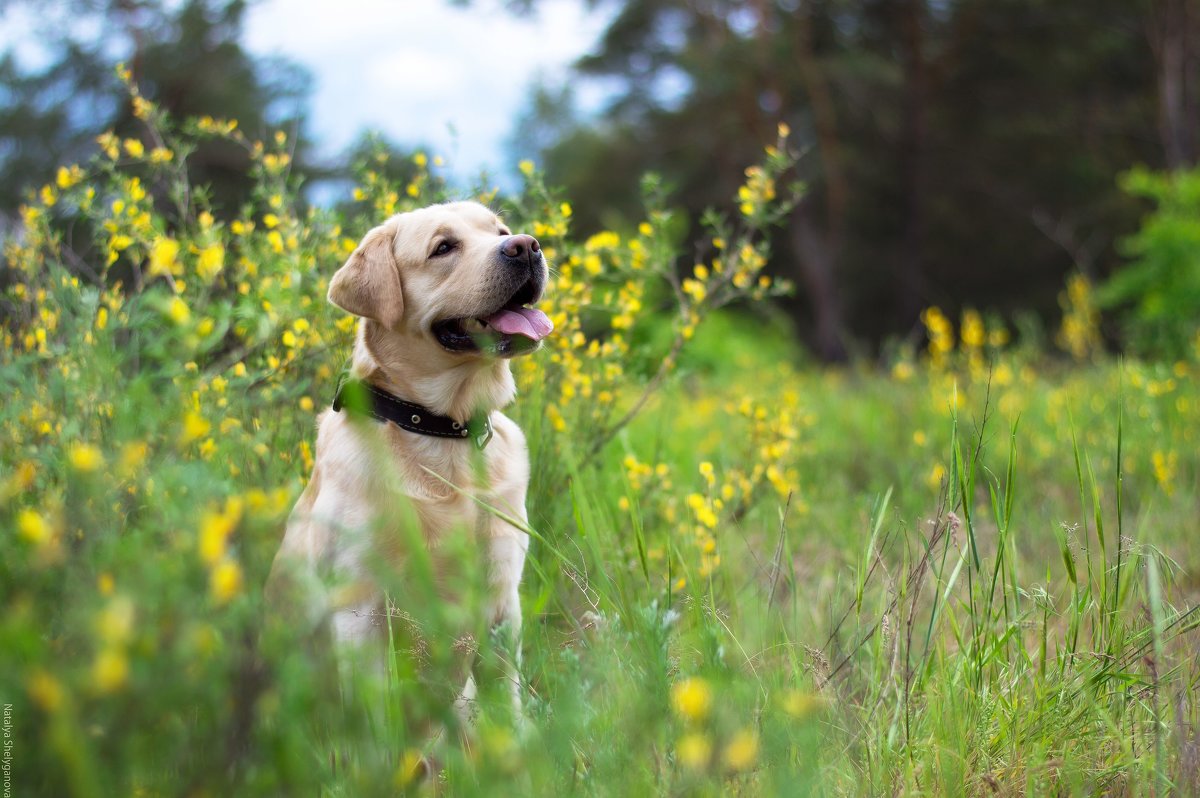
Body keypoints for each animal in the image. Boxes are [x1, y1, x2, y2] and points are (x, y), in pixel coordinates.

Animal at [265, 199, 549, 715]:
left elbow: (508, 710)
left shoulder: (502, 601)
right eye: (444, 247)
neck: (444, 429)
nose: (527, 246)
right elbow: (379, 716)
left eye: (500, 231)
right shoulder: (358, 610)